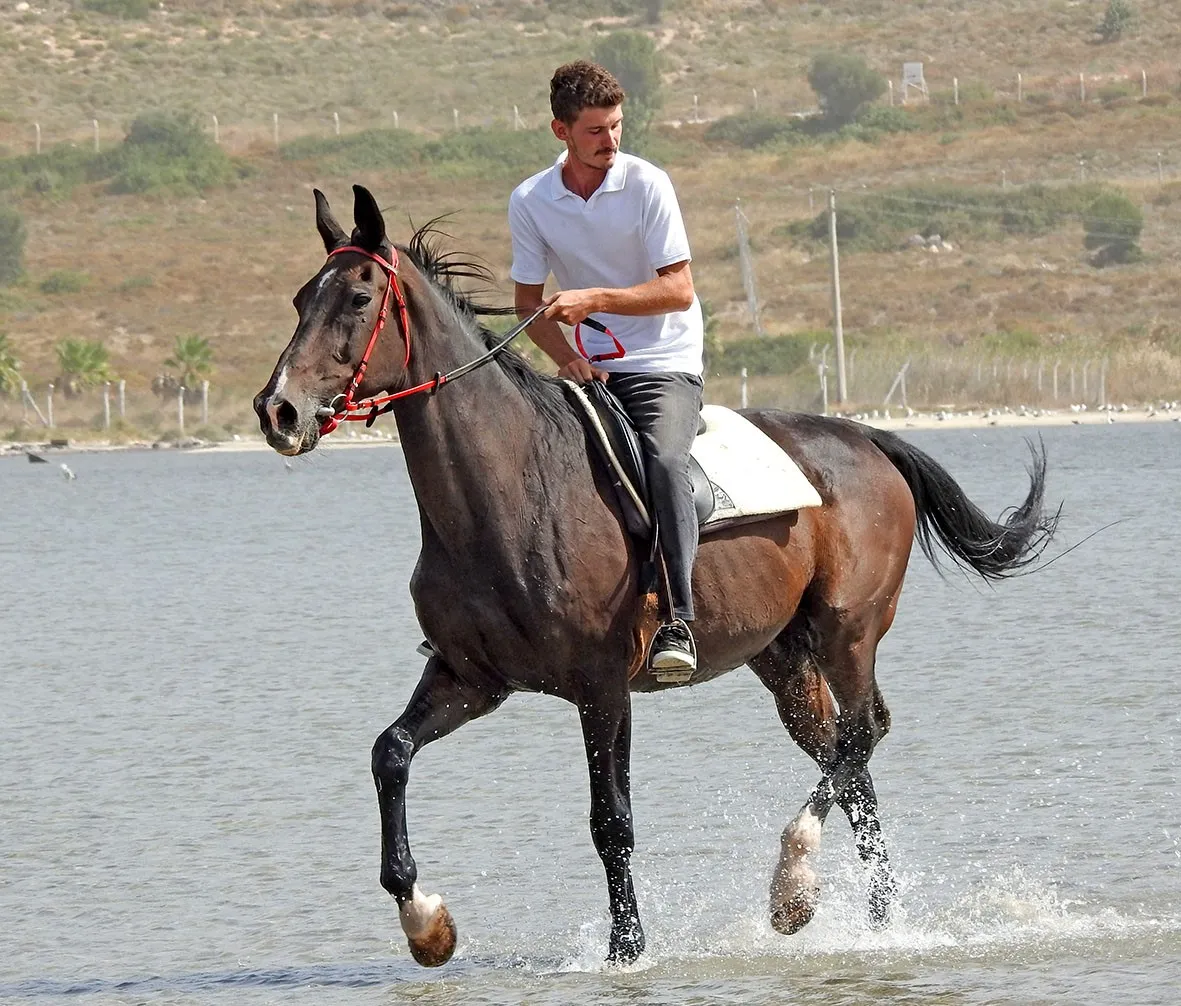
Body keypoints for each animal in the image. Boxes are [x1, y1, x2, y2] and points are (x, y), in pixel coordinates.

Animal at [253, 186, 1058, 968]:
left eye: (358, 298)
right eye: (298, 299)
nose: (277, 410)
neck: (508, 490)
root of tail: (866, 437)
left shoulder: (602, 686)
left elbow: (610, 819)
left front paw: (627, 950)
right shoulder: (469, 678)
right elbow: (389, 753)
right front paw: (426, 924)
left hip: (847, 631)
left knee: (861, 735)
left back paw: (793, 885)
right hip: (783, 657)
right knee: (849, 757)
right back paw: (874, 918)